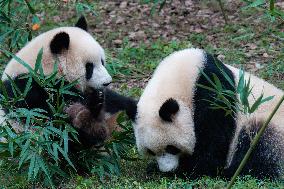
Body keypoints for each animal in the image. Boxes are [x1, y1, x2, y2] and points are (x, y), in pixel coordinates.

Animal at [0, 17, 138, 151]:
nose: (107, 82)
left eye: (102, 62)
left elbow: (115, 100)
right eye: (89, 67)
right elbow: (55, 122)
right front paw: (92, 106)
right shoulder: (26, 90)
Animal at [133, 48, 284, 179]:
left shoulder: (214, 92)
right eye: (150, 151)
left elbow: (213, 144)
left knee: (259, 145)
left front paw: (187, 169)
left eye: (172, 148)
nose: (167, 170)